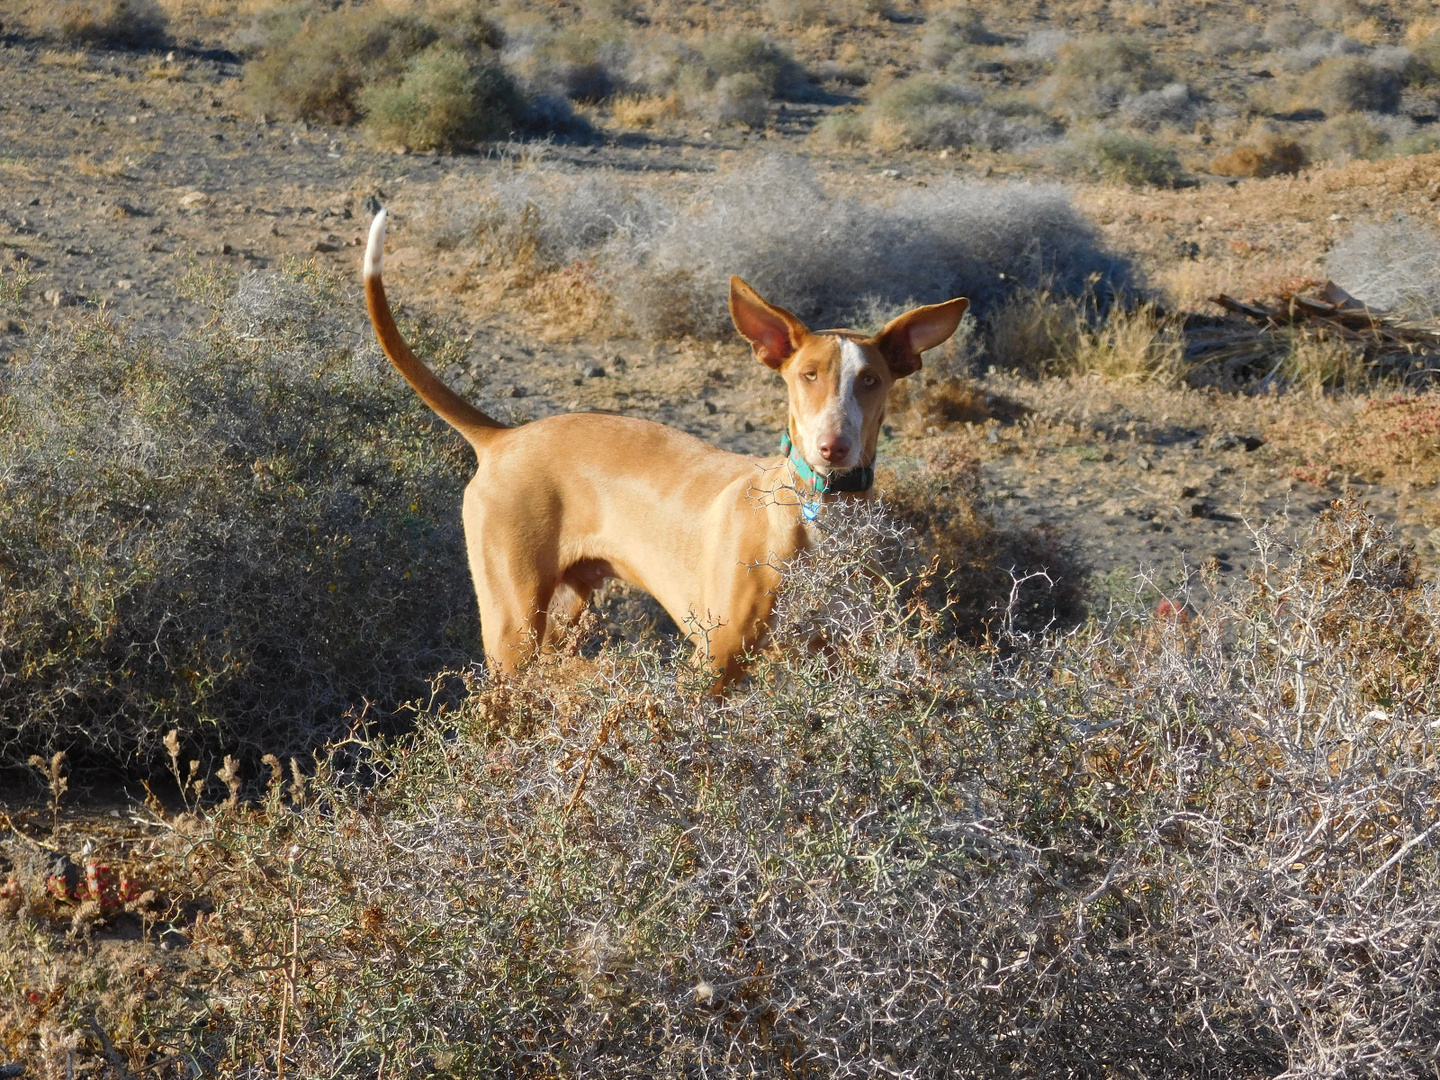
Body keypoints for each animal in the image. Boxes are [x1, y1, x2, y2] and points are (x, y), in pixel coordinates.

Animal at [362, 208, 967, 685]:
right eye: (808, 375)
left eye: (870, 380)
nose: (832, 447)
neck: (819, 510)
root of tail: (505, 437)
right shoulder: (717, 661)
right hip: (513, 623)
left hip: (564, 612)